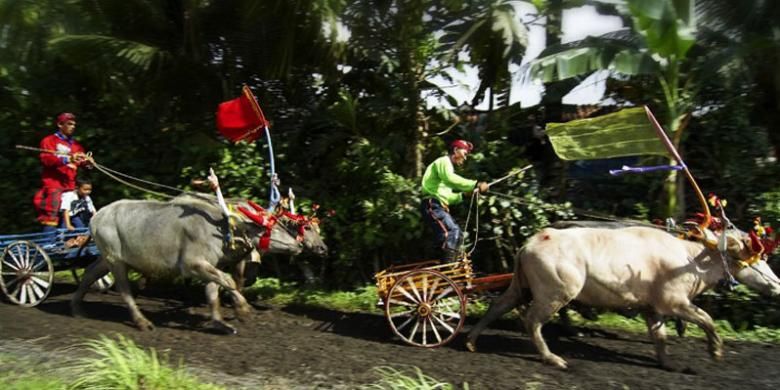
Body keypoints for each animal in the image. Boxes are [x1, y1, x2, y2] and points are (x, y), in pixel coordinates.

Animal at [72, 197, 304, 334]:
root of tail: (97, 216)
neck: (222, 230)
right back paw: (142, 321)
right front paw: (243, 309)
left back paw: (77, 307)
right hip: (116, 260)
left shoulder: (210, 266)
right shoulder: (192, 264)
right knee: (124, 290)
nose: (298, 244)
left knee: (89, 273)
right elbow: (228, 280)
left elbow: (213, 292)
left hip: (106, 258)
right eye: (271, 228)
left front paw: (220, 323)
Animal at [466, 224, 776, 370]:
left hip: (520, 287)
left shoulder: (653, 308)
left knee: (499, 305)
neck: (691, 261)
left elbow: (660, 337)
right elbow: (707, 318)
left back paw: (471, 341)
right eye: (755, 259)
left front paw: (669, 364)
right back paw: (553, 358)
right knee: (531, 321)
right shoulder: (674, 302)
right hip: (556, 292)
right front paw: (716, 351)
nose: (777, 285)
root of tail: (531, 242)